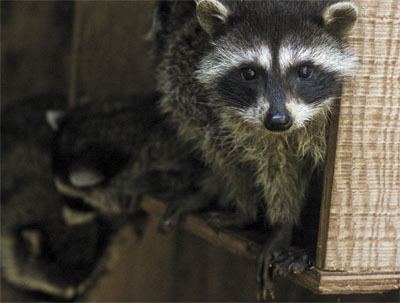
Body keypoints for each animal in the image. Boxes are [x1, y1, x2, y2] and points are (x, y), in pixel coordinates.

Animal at [154, 0, 360, 300]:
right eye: (249, 73)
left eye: (305, 71)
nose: (278, 120)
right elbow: (278, 165)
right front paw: (283, 226)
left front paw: (309, 241)